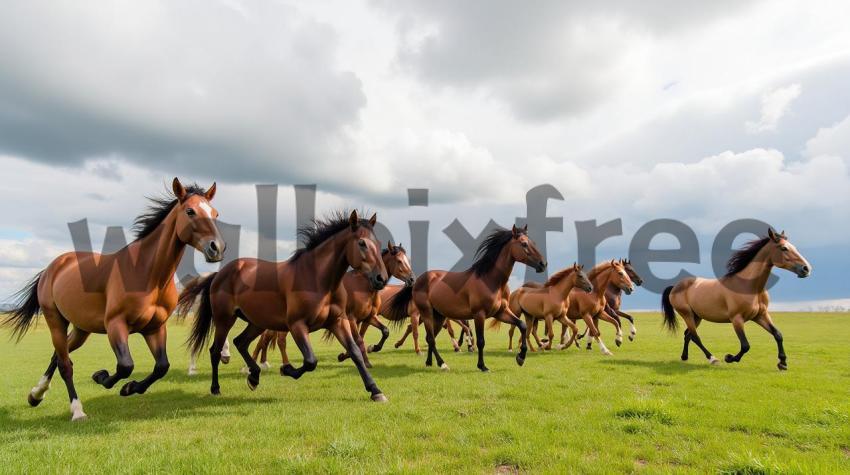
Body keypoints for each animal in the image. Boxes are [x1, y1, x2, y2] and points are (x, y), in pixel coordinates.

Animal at [0, 178, 225, 420]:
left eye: (215, 213)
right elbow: (125, 366)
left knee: (59, 356)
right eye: (190, 211)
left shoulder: (155, 328)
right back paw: (76, 410)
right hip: (55, 320)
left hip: (82, 329)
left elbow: (161, 366)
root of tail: (54, 266)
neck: (147, 273)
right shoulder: (116, 325)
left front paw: (129, 388)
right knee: (65, 364)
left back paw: (36, 394)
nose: (217, 248)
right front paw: (101, 376)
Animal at [181, 211, 392, 402]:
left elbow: (355, 352)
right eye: (362, 243)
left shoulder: (338, 321)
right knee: (215, 351)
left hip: (257, 322)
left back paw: (254, 376)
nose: (381, 278)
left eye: (379, 244)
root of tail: (220, 274)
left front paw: (376, 391)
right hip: (224, 319)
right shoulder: (297, 325)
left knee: (240, 342)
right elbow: (310, 361)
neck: (317, 279)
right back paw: (216, 388)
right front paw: (286, 369)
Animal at [388, 225, 548, 374]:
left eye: (532, 242)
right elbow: (481, 341)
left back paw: (429, 362)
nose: (543, 264)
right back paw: (442, 364)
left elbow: (522, 325)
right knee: (431, 339)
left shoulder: (501, 312)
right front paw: (482, 366)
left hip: (439, 316)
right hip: (426, 313)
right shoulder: (479, 315)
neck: (489, 280)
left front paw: (521, 357)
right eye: (524, 244)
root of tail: (418, 280)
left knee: (430, 337)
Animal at [660, 229, 812, 370]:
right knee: (695, 337)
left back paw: (684, 357)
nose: (806, 269)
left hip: (697, 316)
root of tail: (675, 286)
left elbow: (778, 334)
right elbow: (745, 345)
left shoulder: (760, 316)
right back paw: (713, 359)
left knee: (688, 335)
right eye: (783, 248)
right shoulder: (737, 319)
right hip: (687, 314)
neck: (749, 287)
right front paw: (729, 358)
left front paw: (783, 363)